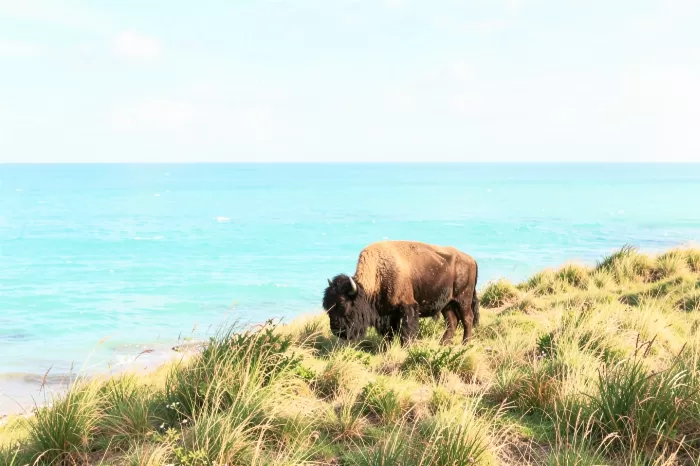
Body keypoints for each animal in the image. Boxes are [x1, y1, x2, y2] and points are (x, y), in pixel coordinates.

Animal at [322, 240, 479, 345]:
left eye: (343, 304)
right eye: (327, 306)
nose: (336, 330)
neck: (379, 275)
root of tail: (471, 259)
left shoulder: (407, 307)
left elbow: (407, 331)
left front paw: (407, 346)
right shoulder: (386, 314)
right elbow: (389, 334)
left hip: (463, 300)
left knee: (467, 319)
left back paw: (465, 343)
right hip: (447, 304)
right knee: (452, 322)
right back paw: (443, 344)